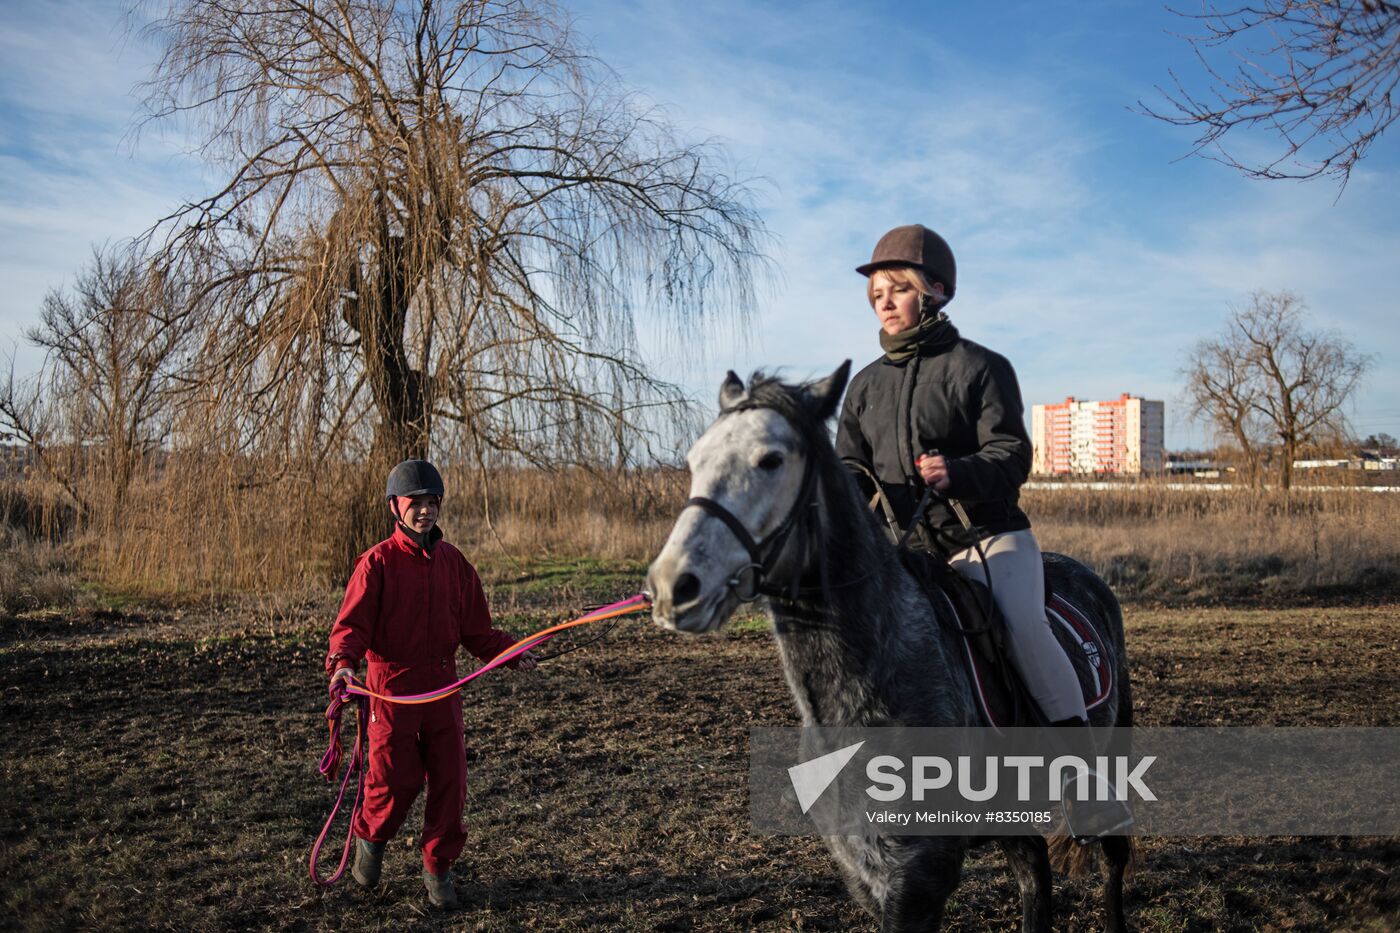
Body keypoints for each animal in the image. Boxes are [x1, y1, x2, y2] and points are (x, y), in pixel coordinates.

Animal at [649, 364, 1131, 930]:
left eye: (770, 460)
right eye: (695, 461)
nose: (673, 586)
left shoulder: (918, 877)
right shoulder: (868, 870)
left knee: (1112, 862)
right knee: (1035, 875)